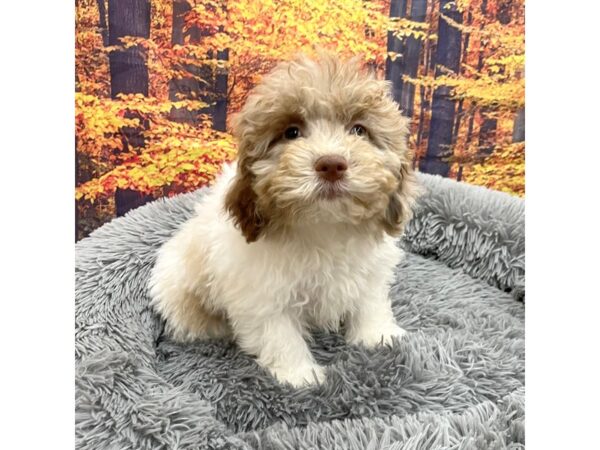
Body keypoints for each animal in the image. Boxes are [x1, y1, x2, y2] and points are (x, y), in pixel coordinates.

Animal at [149, 51, 420, 386]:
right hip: (178, 289)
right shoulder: (261, 292)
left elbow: (369, 301)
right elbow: (278, 332)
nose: (331, 164)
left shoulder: (369, 270)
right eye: (292, 132)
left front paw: (377, 337)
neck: (324, 227)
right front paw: (299, 374)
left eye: (358, 130)